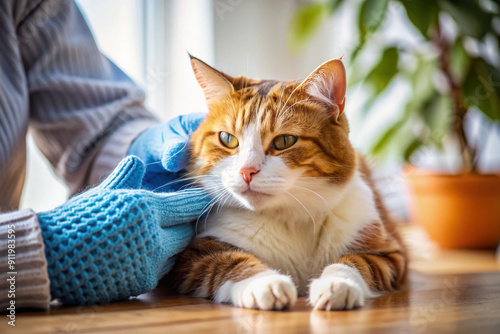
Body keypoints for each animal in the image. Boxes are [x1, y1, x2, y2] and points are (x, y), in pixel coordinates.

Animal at [172, 54, 406, 310]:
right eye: (227, 139)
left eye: (284, 141)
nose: (247, 171)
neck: (291, 217)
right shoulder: (193, 256)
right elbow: (230, 262)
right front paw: (265, 283)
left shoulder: (390, 254)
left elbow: (358, 262)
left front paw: (336, 283)